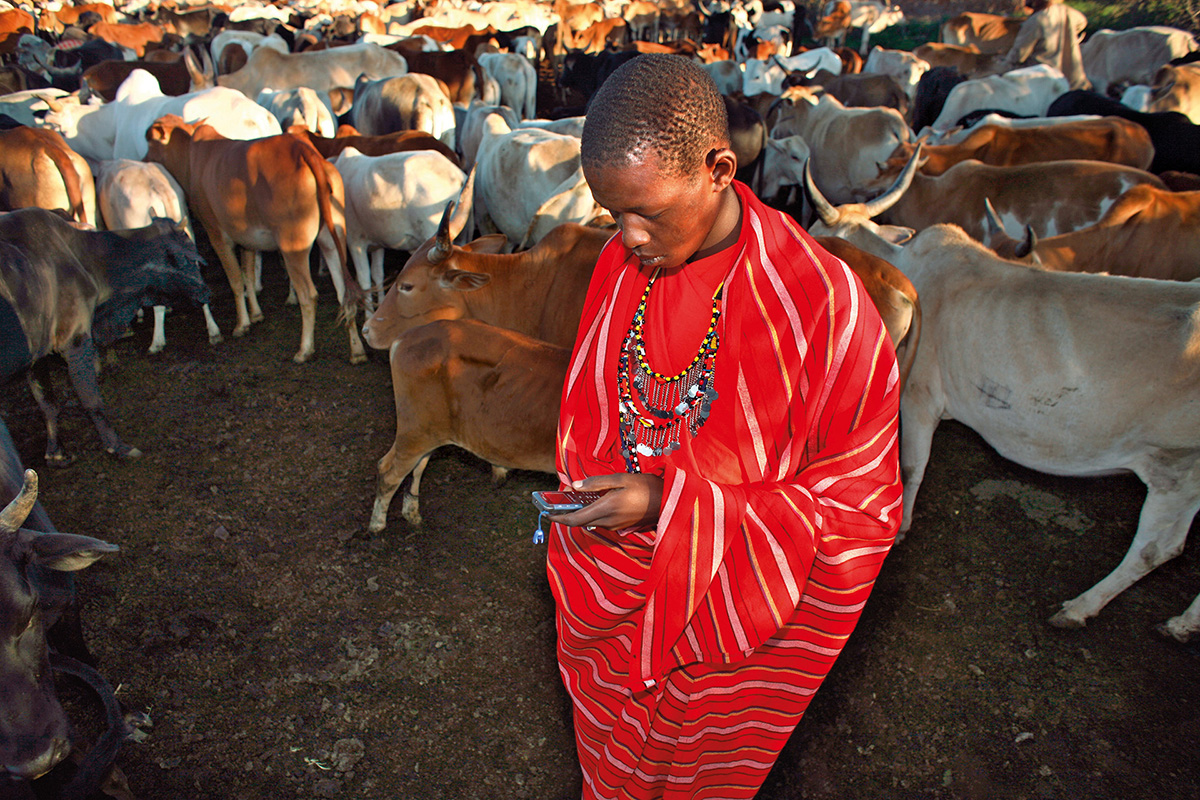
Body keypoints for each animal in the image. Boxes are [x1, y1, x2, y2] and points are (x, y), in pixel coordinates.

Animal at [144, 113, 362, 364]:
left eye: (150, 142)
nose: (144, 159)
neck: (192, 157)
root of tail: (305, 152)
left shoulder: (216, 234)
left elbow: (236, 280)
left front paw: (242, 324)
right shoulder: (246, 237)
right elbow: (248, 274)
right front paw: (256, 314)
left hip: (292, 245)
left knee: (309, 295)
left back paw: (304, 349)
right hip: (332, 239)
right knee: (345, 293)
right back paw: (357, 351)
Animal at [806, 154, 1200, 642]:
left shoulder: (918, 396)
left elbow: (912, 467)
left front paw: (900, 529)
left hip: (1173, 468)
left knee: (1155, 548)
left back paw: (1080, 607)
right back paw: (1182, 622)